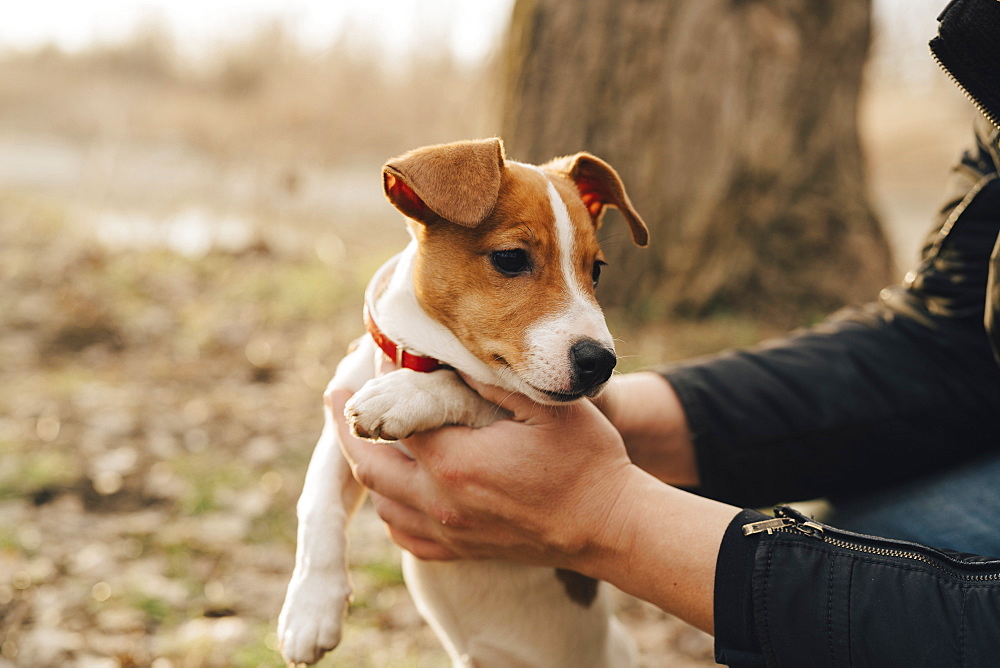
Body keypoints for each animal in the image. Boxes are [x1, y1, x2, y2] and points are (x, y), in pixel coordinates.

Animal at [278, 138, 648, 664]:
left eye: (595, 271)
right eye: (511, 259)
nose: (602, 363)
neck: (420, 354)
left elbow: (465, 387)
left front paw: (403, 395)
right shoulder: (338, 416)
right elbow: (317, 503)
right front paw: (311, 610)